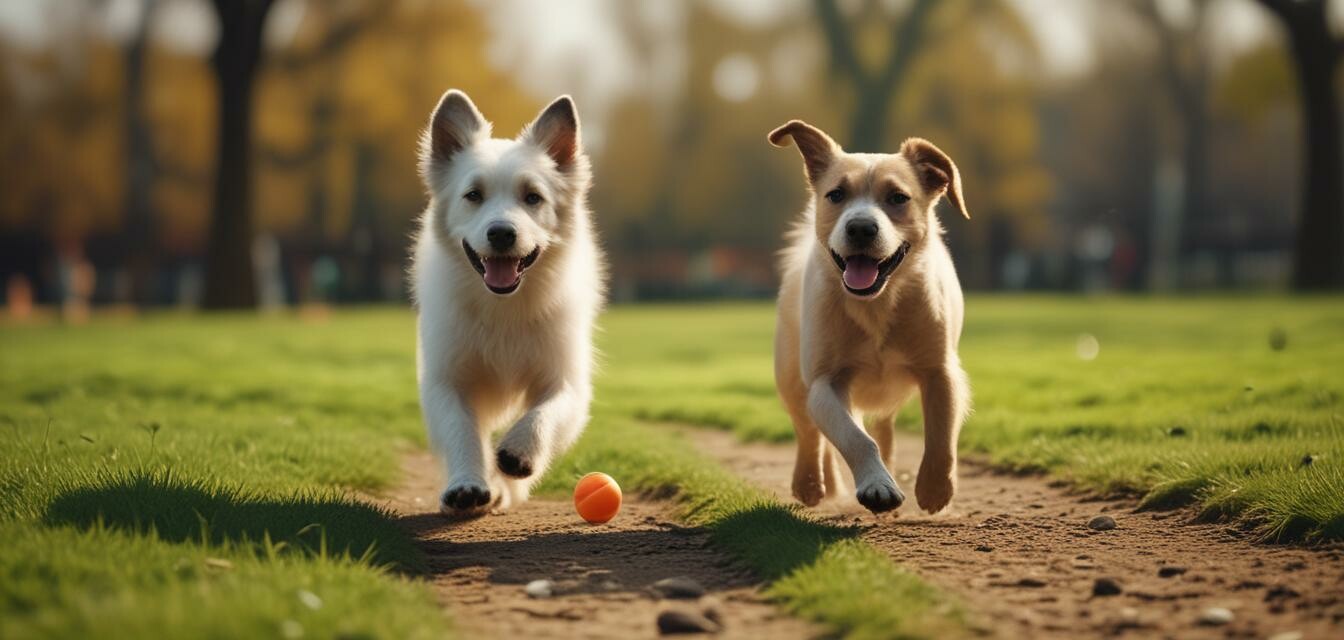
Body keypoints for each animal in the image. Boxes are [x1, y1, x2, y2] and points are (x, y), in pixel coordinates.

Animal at [405, 90, 602, 516]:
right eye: (473, 195)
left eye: (533, 197)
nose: (501, 233)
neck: (503, 307)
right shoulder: (446, 380)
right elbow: (461, 430)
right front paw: (467, 484)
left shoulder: (567, 381)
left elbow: (545, 413)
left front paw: (518, 453)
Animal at [774, 119, 973, 516]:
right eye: (836, 194)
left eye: (898, 197)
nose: (861, 227)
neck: (875, 305)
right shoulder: (825, 383)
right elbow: (855, 438)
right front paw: (877, 485)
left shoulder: (940, 371)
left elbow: (941, 435)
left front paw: (934, 488)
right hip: (790, 376)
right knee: (808, 433)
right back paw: (811, 482)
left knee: (884, 428)